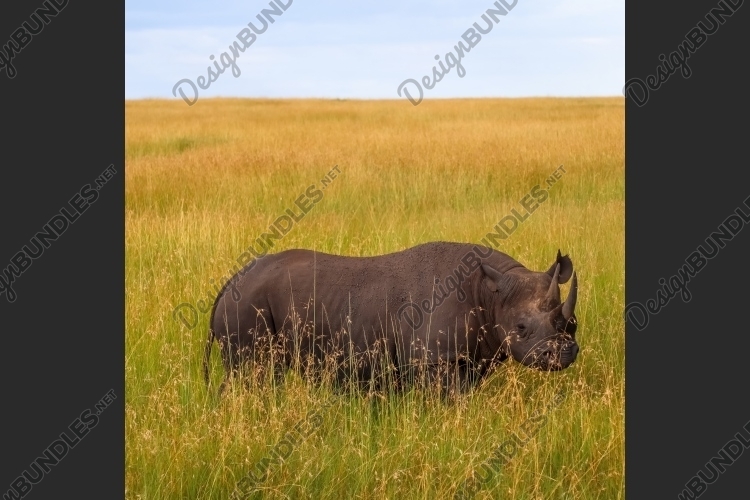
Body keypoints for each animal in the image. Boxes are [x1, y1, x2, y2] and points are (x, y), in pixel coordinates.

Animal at [205, 242, 579, 395]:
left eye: (573, 324)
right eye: (521, 328)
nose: (563, 354)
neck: (490, 293)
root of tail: (231, 281)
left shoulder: (470, 358)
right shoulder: (434, 359)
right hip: (246, 304)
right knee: (253, 373)